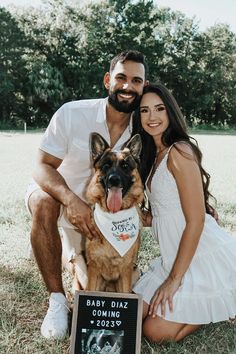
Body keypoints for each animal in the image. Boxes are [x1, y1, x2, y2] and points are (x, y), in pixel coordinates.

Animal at [85, 133, 144, 294]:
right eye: (106, 166)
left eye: (125, 166)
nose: (114, 180)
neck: (114, 216)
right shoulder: (93, 269)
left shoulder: (125, 271)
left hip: (135, 272)